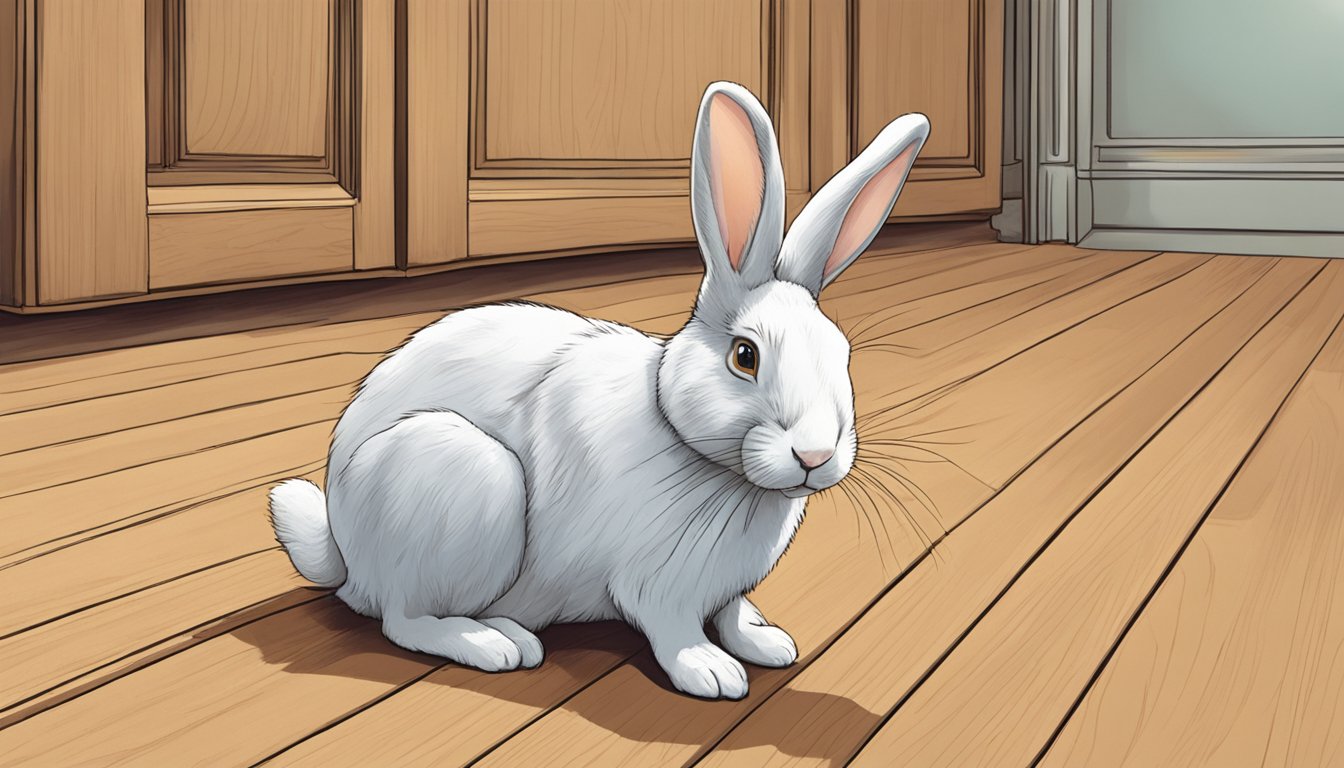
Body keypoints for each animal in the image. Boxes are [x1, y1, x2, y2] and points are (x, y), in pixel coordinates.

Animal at [269, 81, 928, 700]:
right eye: (746, 356)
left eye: (842, 356)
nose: (815, 455)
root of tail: (343, 546)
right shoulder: (655, 582)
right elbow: (673, 627)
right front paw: (712, 672)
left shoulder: (724, 589)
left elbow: (732, 614)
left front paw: (766, 643)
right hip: (459, 478)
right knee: (402, 619)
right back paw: (496, 644)